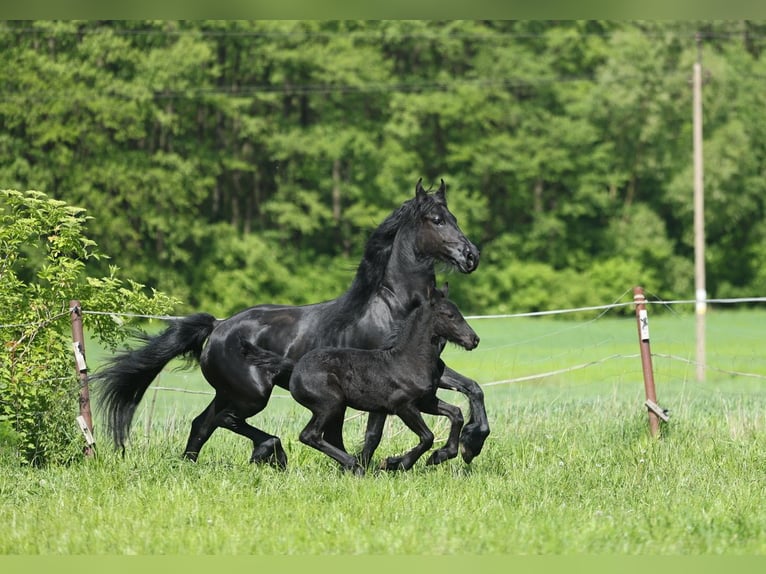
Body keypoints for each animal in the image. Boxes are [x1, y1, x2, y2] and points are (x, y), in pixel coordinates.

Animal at [276, 284, 480, 476]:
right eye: (449, 315)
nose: (474, 340)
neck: (409, 360)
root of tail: (296, 369)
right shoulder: (403, 406)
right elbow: (428, 437)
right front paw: (395, 464)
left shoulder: (426, 402)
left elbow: (456, 414)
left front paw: (444, 454)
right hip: (330, 405)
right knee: (310, 435)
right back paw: (355, 465)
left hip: (336, 408)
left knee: (327, 437)